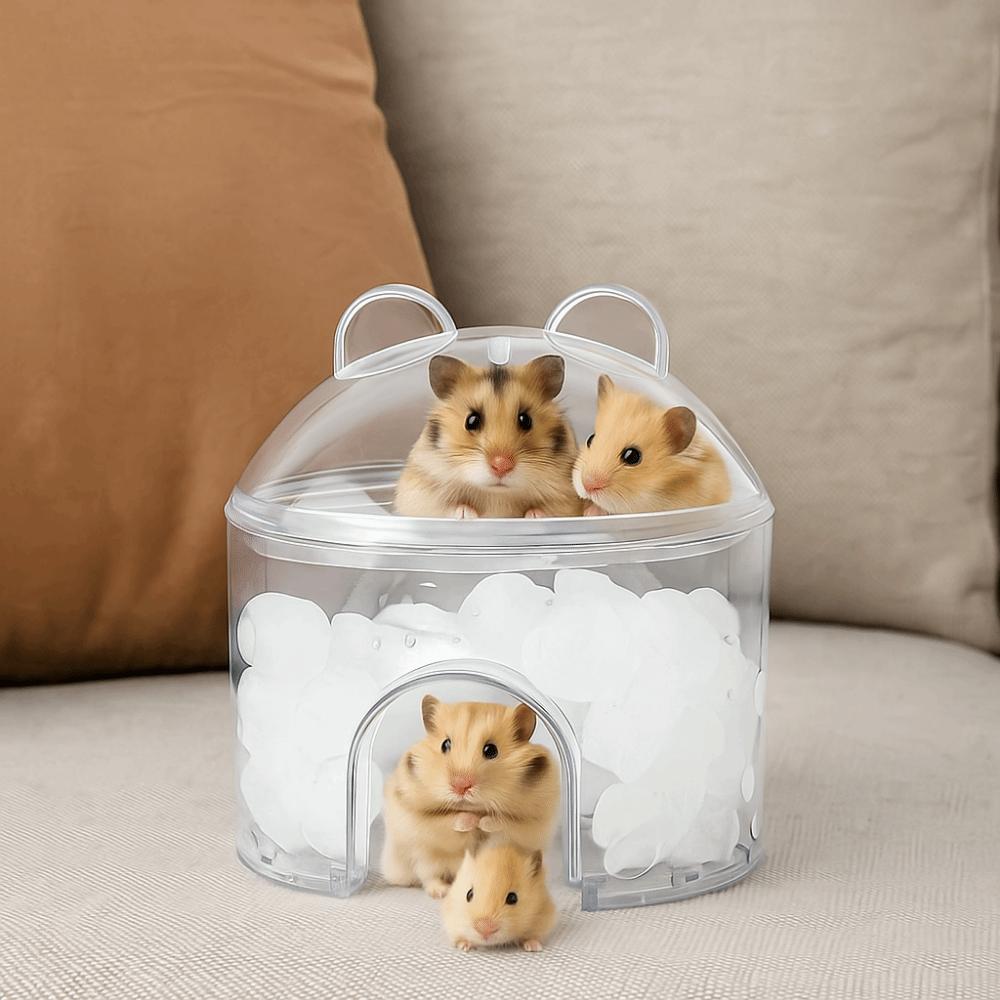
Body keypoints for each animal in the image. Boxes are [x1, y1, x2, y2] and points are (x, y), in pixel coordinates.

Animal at [380, 696, 560, 898]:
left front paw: (482, 821)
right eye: (445, 745)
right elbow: (450, 821)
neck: (474, 807)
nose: (460, 786)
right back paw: (442, 892)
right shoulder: (418, 818)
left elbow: (502, 822)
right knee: (429, 877)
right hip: (424, 860)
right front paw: (473, 820)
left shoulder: (533, 822)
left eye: (491, 750)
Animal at [394, 354, 584, 519]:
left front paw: (535, 516)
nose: (501, 466)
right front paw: (466, 515)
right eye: (471, 420)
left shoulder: (565, 498)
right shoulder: (419, 495)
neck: (496, 494)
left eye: (526, 420)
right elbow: (449, 508)